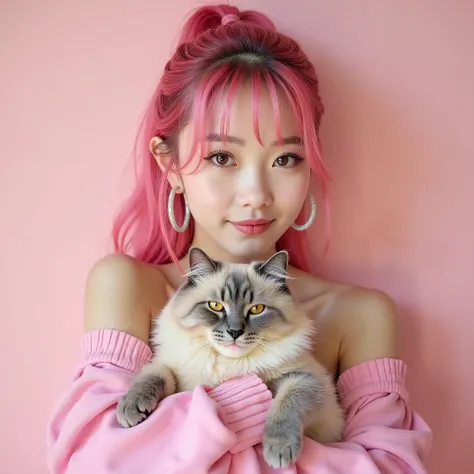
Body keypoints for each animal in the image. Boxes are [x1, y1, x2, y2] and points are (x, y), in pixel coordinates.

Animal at [115, 246, 344, 468]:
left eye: (256, 309)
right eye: (215, 306)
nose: (235, 332)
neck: (229, 364)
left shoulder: (304, 379)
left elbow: (286, 406)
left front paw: (278, 451)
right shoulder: (175, 373)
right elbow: (154, 376)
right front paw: (131, 409)